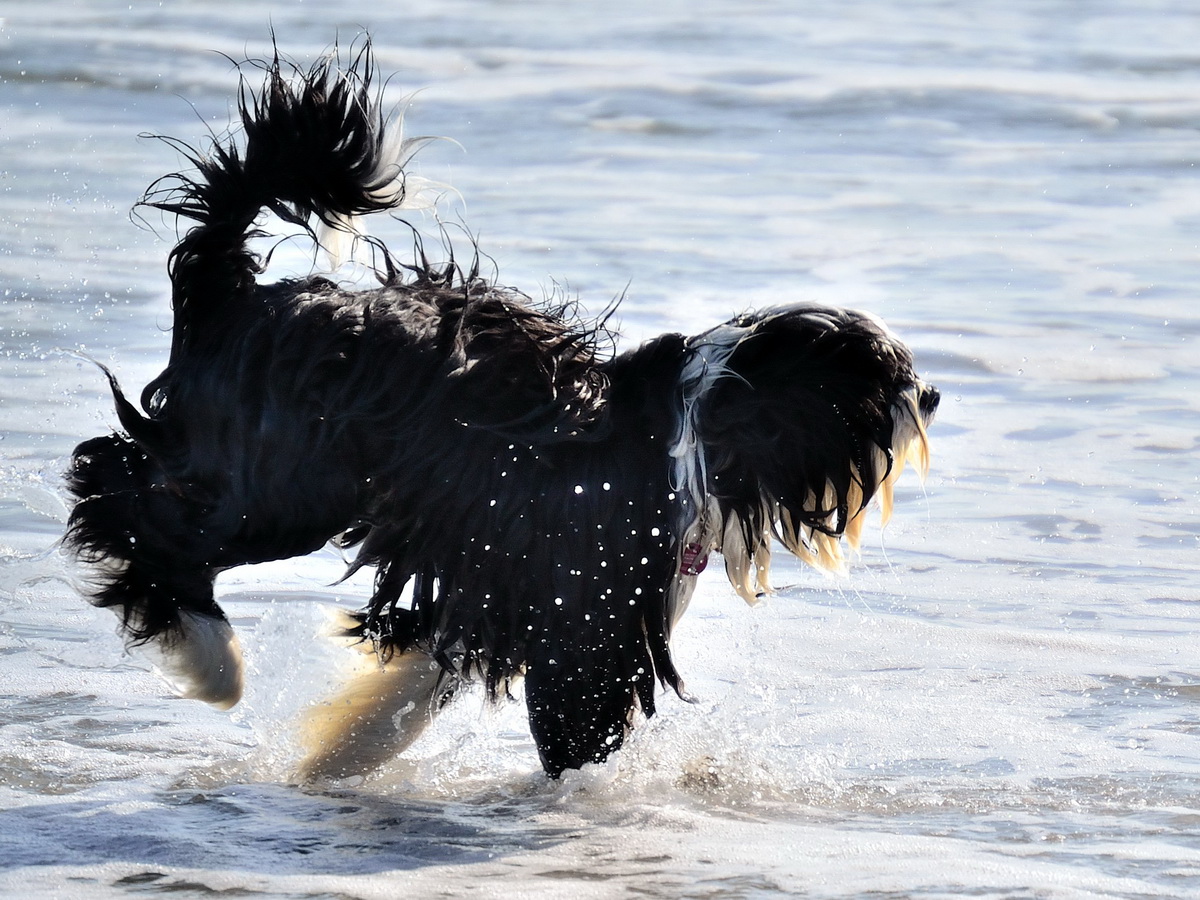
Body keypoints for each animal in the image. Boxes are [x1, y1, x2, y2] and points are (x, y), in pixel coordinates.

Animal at [64, 43, 939, 779]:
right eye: (884, 378)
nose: (931, 393)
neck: (690, 428)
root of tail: (234, 291)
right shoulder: (585, 616)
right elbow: (575, 722)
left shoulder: (492, 577)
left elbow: (419, 675)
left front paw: (344, 756)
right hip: (283, 483)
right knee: (125, 502)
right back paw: (212, 659)